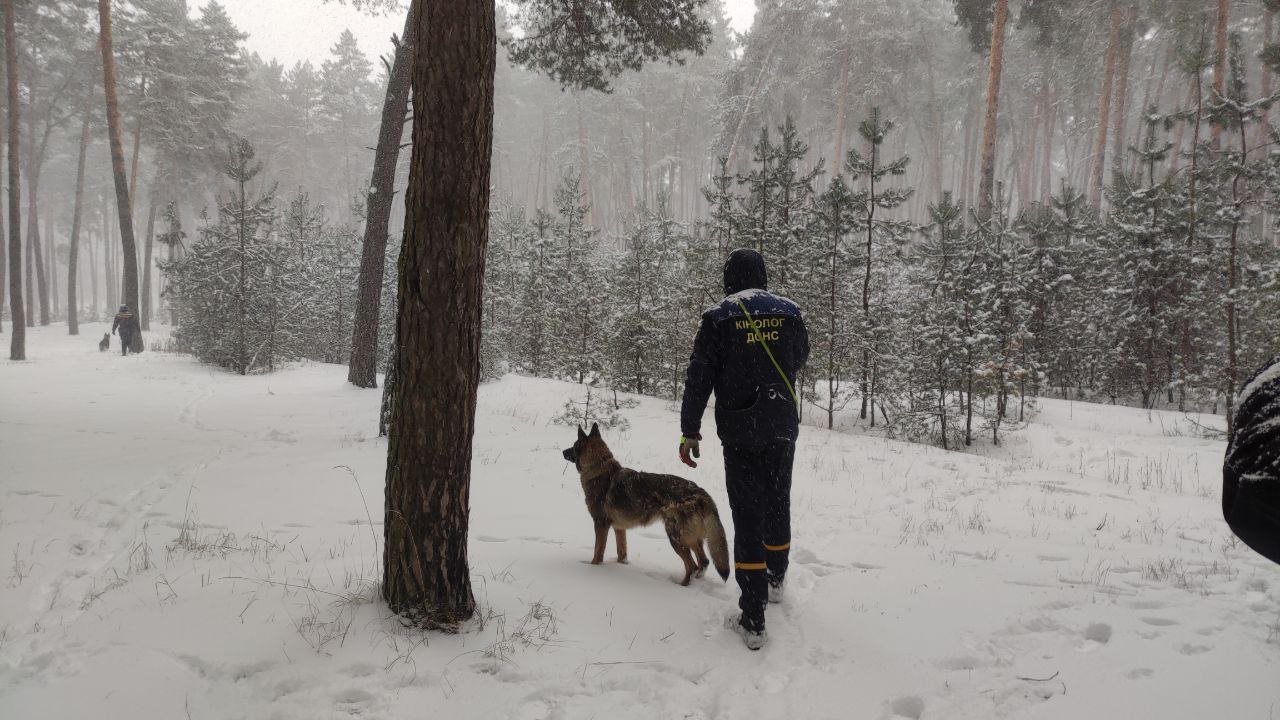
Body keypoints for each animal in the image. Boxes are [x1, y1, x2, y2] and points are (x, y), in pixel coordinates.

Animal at [563, 420, 732, 584]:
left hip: (676, 537)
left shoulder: (601, 524)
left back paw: (682, 584)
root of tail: (701, 492)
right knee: (703, 562)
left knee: (692, 565)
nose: (563, 452)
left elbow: (598, 552)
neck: (598, 468)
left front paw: (593, 568)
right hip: (691, 538)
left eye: (573, 445)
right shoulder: (619, 528)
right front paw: (622, 565)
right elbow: (622, 552)